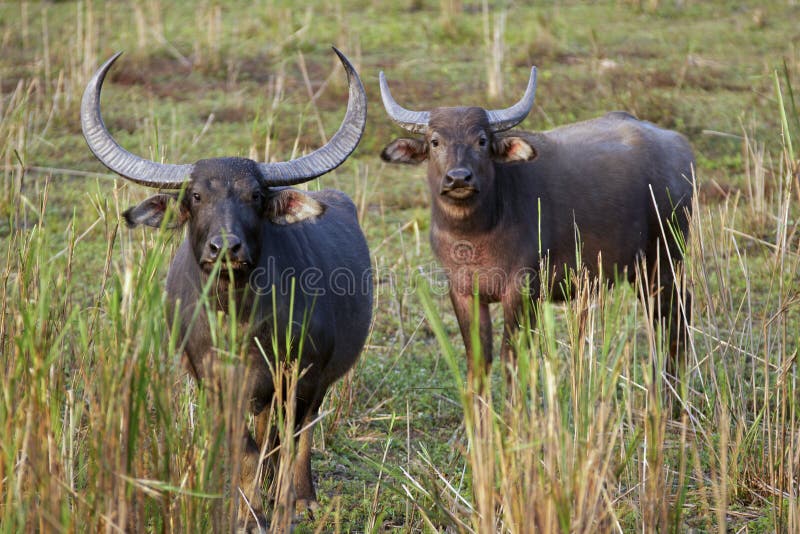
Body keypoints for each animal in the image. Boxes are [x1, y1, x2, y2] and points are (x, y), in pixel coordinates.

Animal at [83, 47, 370, 532]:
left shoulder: (299, 374)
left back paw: (301, 497)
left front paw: (279, 506)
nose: (226, 248)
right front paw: (246, 512)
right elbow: (247, 449)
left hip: (318, 381)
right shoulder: (211, 381)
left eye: (255, 196)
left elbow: (281, 439)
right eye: (196, 196)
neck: (239, 321)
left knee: (301, 430)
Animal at [382, 67, 692, 384]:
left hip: (665, 260)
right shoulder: (463, 291)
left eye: (481, 140)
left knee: (676, 316)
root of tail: (678, 145)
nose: (458, 178)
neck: (473, 235)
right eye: (435, 141)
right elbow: (478, 361)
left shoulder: (522, 289)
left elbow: (511, 358)